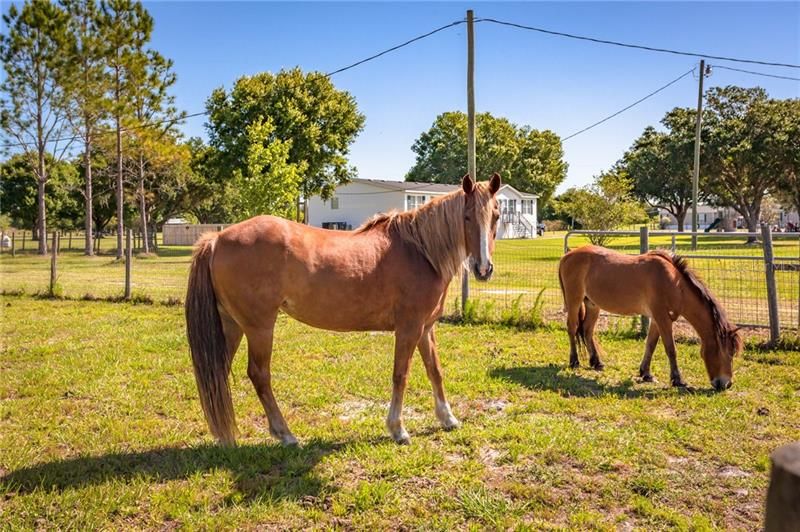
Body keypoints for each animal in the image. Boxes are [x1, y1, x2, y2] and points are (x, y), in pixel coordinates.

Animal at [186, 174, 500, 444]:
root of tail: (216, 240)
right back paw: (285, 434)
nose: (483, 269)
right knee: (259, 375)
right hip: (259, 327)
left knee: (218, 372)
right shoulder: (408, 329)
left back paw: (224, 436)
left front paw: (447, 418)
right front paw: (398, 429)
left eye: (496, 215)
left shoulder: (425, 329)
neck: (421, 251)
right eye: (467, 216)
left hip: (231, 324)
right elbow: (401, 374)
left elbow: (435, 370)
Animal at [560, 245, 740, 390]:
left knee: (587, 331)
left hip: (592, 305)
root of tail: (568, 255)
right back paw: (574, 361)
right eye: (728, 353)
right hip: (574, 301)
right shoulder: (662, 318)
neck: (674, 284)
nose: (726, 384)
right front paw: (677, 380)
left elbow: (650, 345)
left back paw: (596, 362)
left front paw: (646, 373)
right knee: (572, 328)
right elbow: (671, 349)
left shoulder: (656, 319)